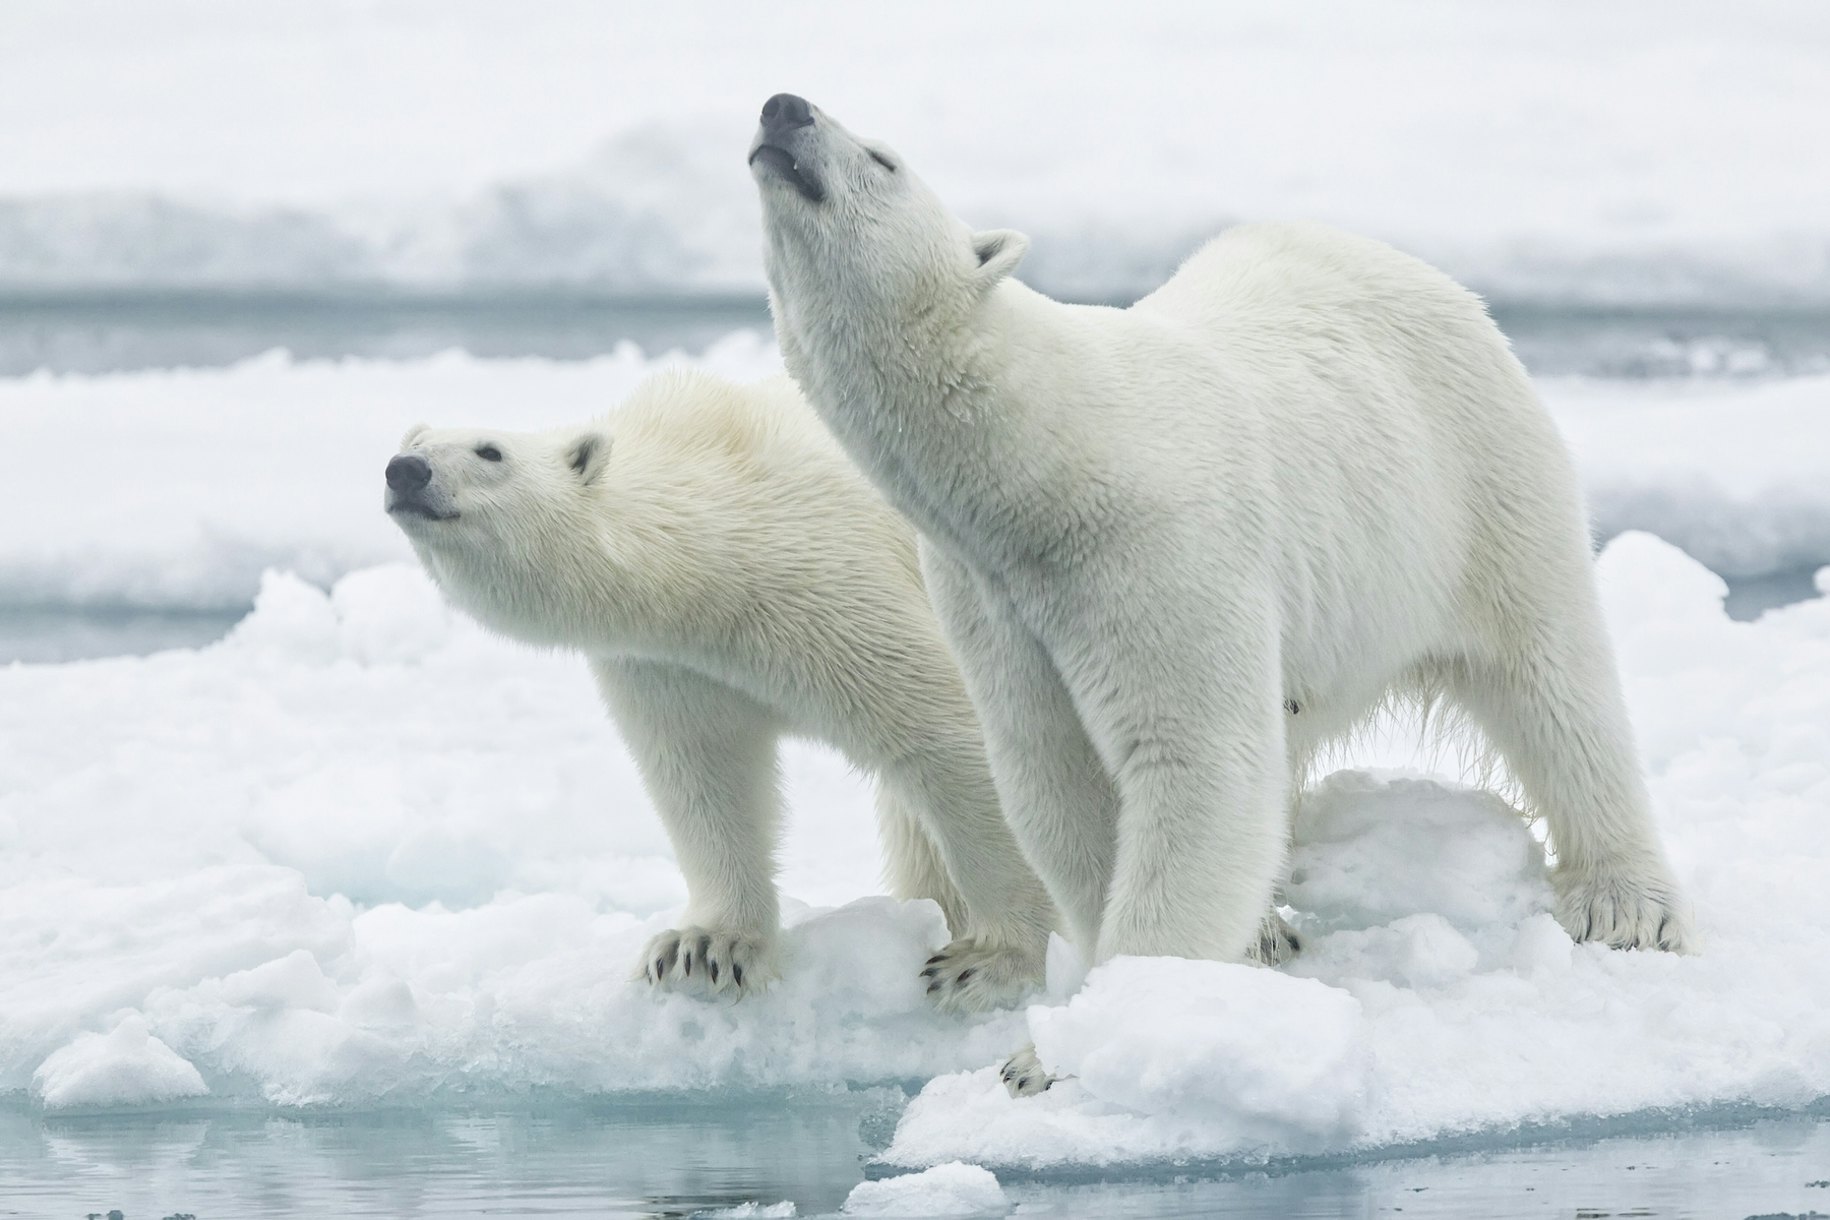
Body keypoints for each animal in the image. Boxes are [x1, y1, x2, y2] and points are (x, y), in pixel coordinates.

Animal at [378, 369, 1054, 1009]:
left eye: (491, 451)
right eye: (413, 442)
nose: (405, 470)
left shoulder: (836, 584)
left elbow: (948, 736)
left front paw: (990, 963)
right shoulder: (673, 665)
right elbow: (706, 775)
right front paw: (704, 948)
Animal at [750, 93, 1690, 1068]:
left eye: (882, 158)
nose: (783, 107)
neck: (1047, 460)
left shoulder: (1158, 547)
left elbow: (1198, 760)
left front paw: (1067, 1051)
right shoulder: (993, 596)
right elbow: (1057, 779)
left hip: (1477, 482)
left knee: (1554, 683)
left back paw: (1625, 903)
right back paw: (1267, 928)